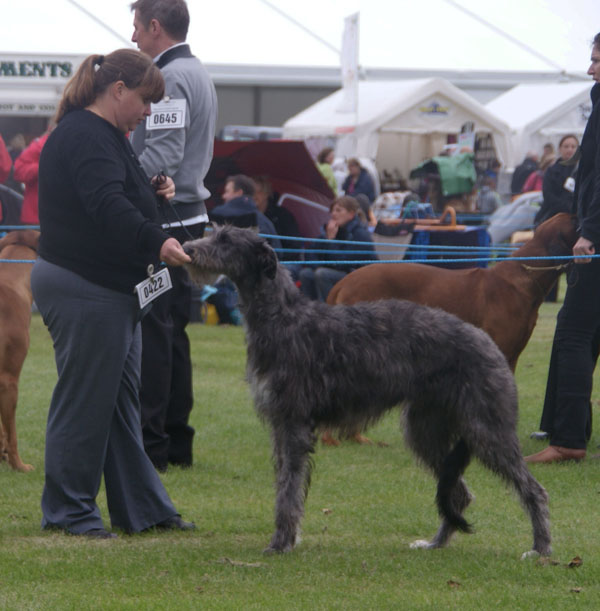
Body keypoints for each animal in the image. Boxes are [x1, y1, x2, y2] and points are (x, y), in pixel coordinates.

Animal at [184, 226, 552, 560]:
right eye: (211, 232)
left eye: (225, 240)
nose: (187, 248)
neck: (282, 318)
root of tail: (487, 342)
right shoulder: (279, 424)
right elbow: (284, 484)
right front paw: (286, 538)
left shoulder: (293, 422)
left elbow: (289, 489)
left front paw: (281, 542)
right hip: (426, 429)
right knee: (459, 492)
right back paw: (437, 542)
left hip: (487, 427)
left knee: (533, 488)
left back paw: (541, 546)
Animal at [322, 214, 580, 444]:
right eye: (576, 223)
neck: (525, 275)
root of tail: (342, 282)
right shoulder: (500, 351)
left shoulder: (512, 354)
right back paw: (331, 438)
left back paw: (353, 437)